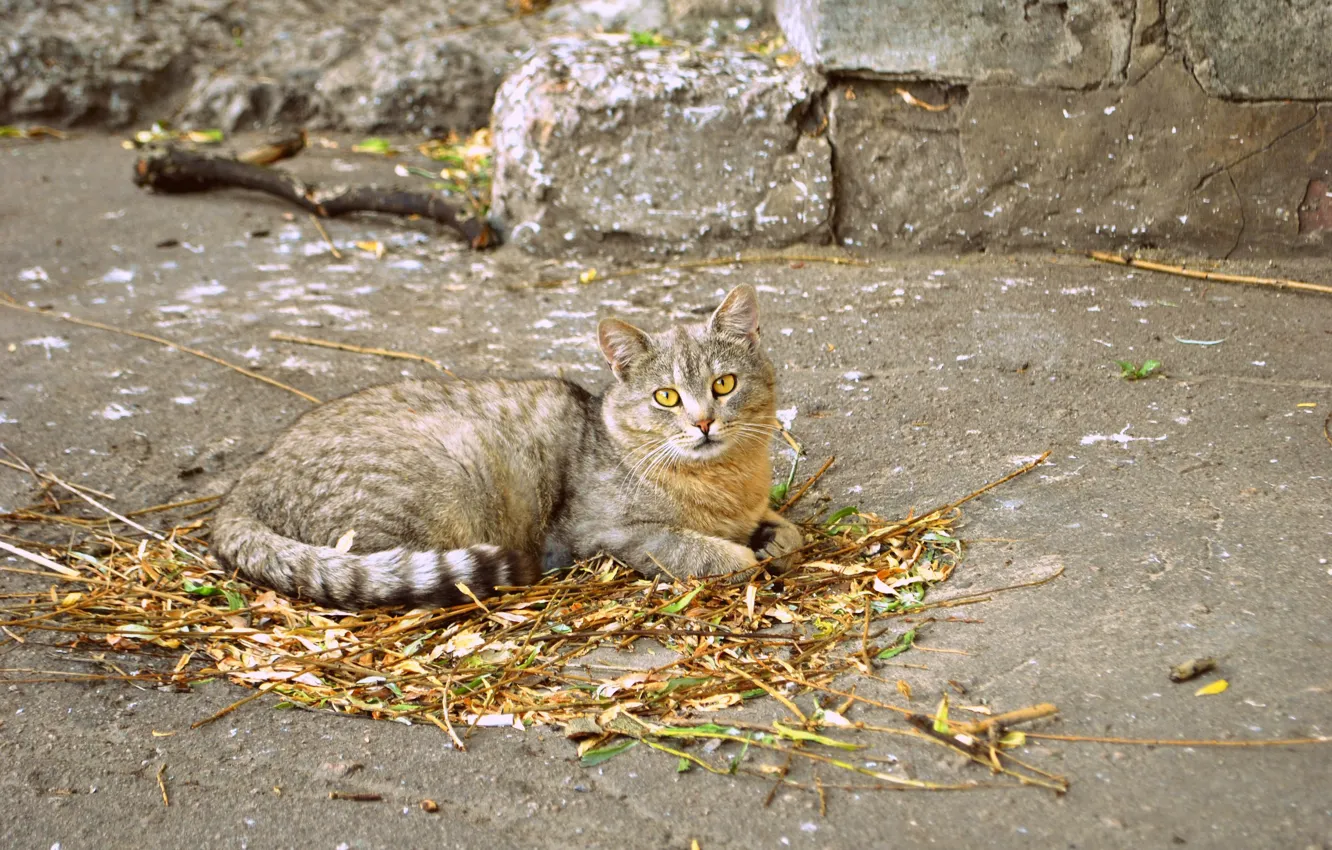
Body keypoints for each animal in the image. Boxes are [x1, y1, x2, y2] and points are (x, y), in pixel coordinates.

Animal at [213, 285, 804, 607]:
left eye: (724, 384)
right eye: (666, 396)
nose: (703, 422)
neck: (726, 482)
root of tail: (241, 490)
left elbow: (786, 531)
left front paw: (772, 537)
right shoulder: (603, 534)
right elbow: (691, 547)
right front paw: (738, 555)